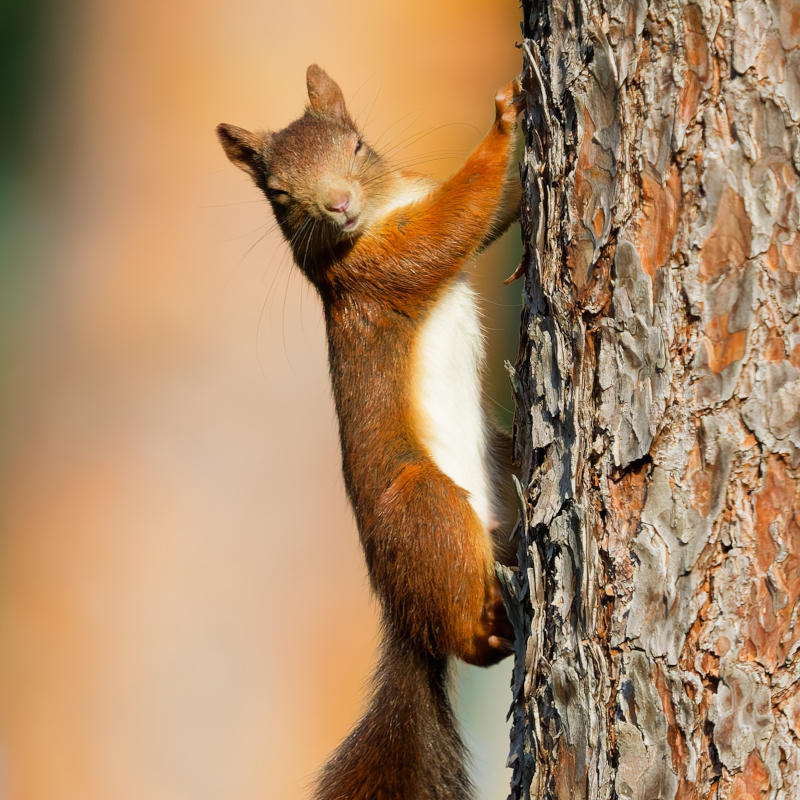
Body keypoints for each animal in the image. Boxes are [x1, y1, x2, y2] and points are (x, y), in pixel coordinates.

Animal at [217, 65, 525, 800]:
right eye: (278, 193)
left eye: (356, 145)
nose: (338, 205)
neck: (381, 210)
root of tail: (401, 613)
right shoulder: (375, 271)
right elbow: (451, 226)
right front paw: (503, 123)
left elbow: (486, 218)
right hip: (425, 505)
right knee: (462, 641)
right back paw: (495, 630)